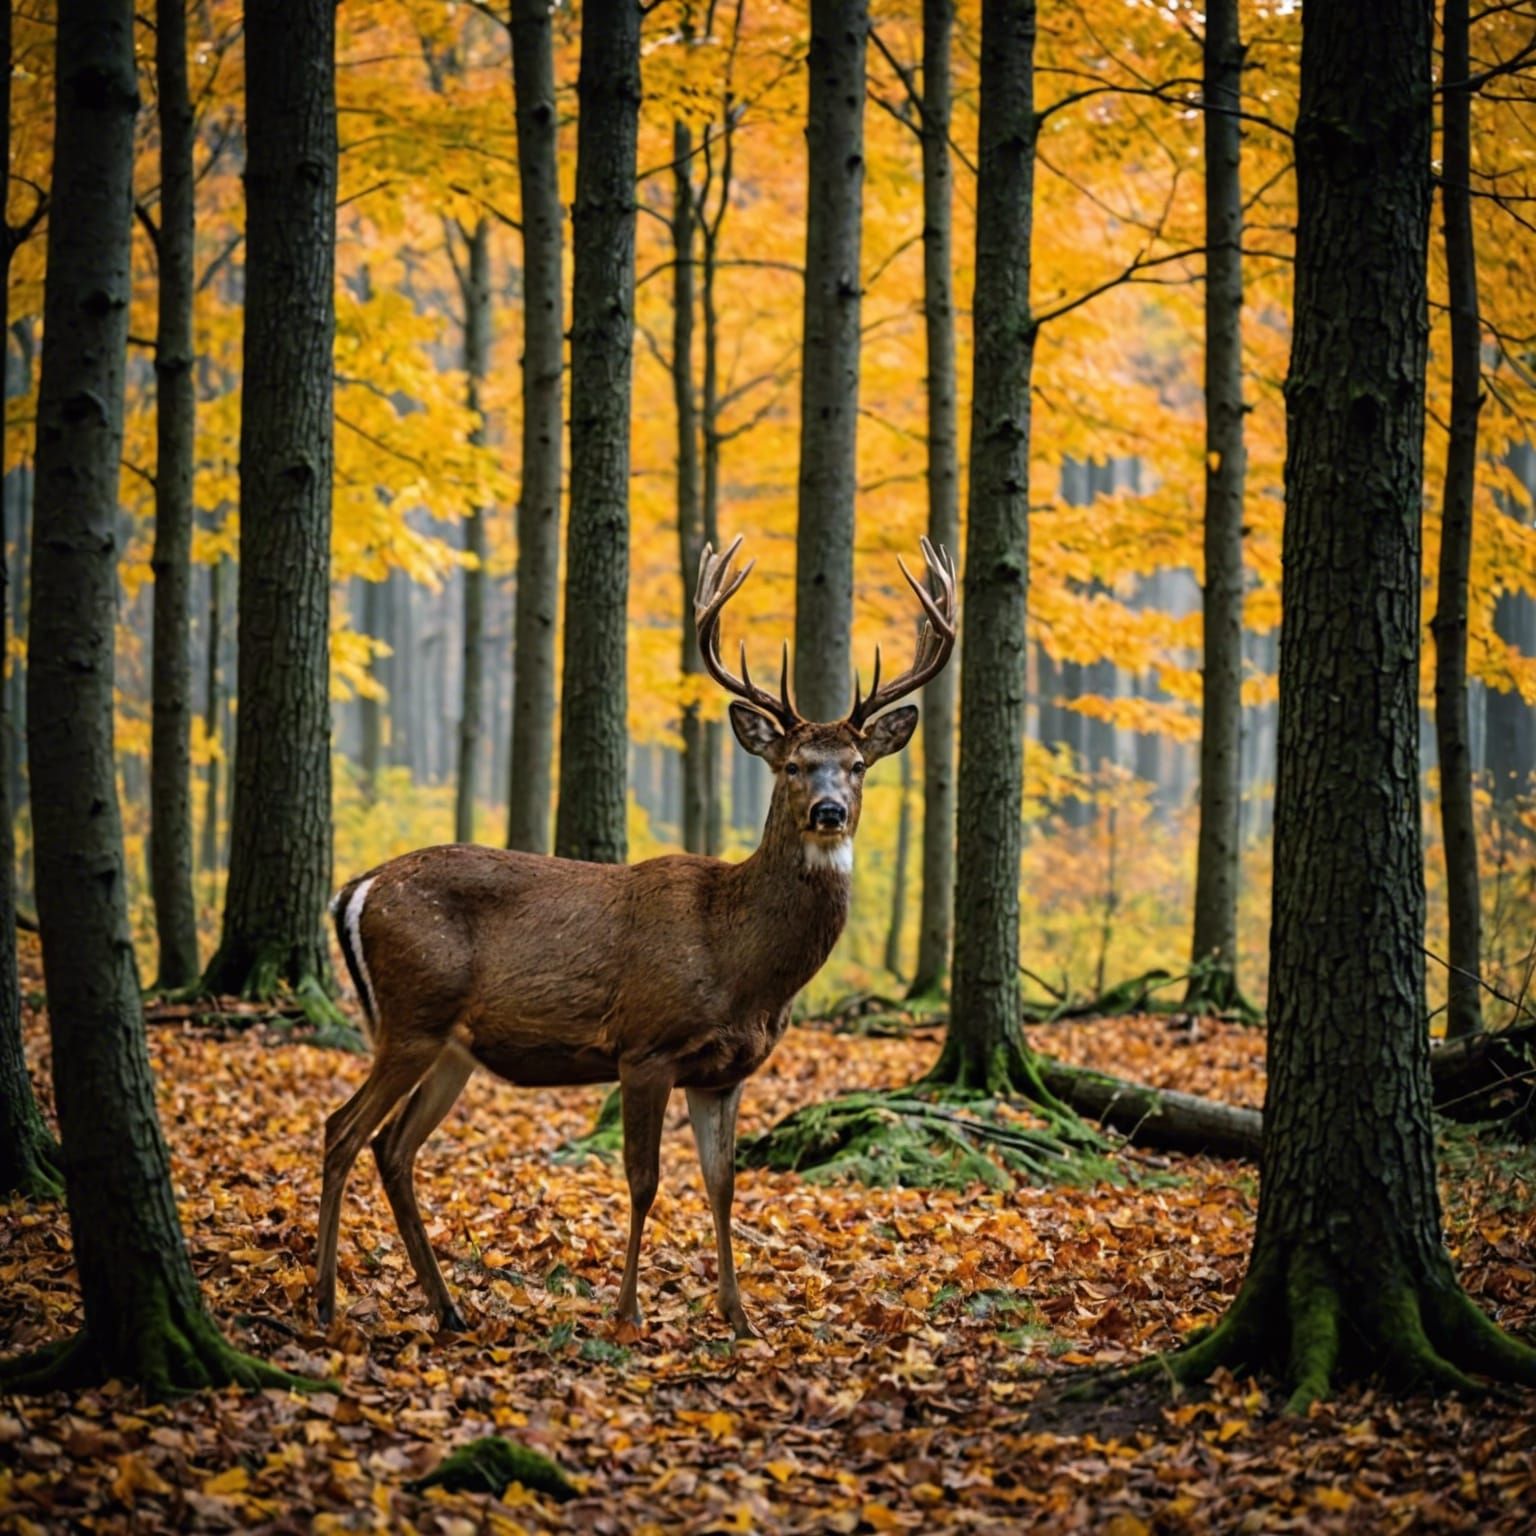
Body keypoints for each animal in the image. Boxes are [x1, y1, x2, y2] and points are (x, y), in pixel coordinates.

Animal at [317, 536, 956, 1339]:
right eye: (792, 766)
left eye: (859, 764)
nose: (830, 811)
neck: (741, 965)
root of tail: (354, 889)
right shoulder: (646, 1046)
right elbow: (644, 1181)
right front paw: (628, 1314)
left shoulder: (724, 1071)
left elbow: (721, 1184)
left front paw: (740, 1319)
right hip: (411, 1015)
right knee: (342, 1130)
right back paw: (326, 1302)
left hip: (450, 1046)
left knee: (392, 1149)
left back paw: (449, 1307)